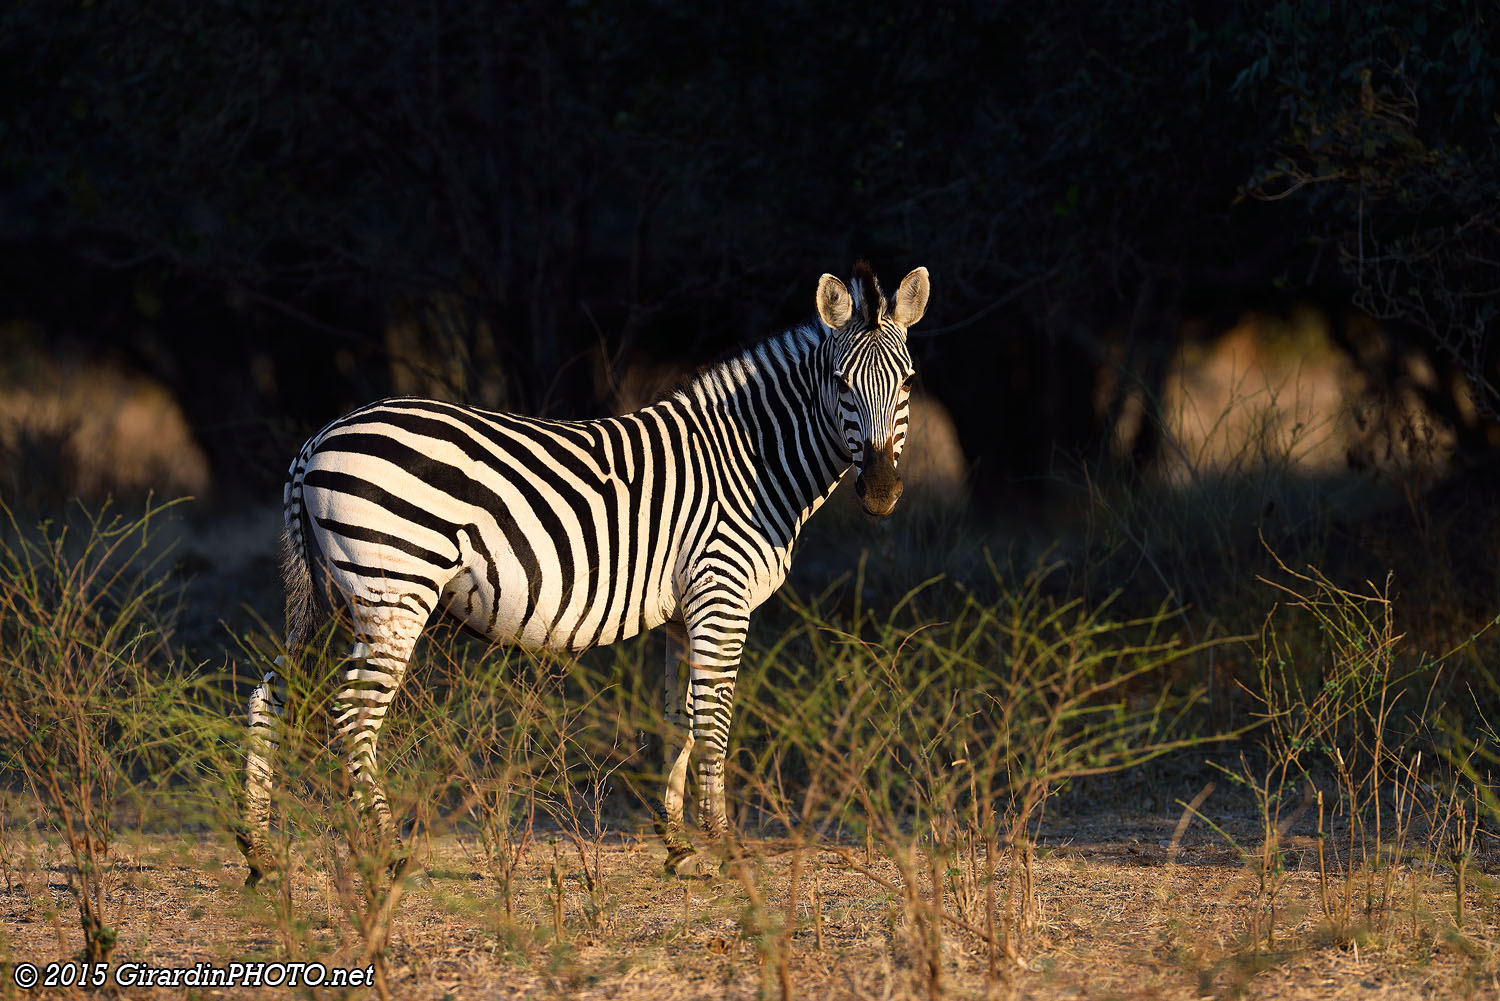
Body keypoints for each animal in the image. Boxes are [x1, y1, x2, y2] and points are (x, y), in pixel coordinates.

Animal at [239, 262, 929, 882]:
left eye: (909, 383)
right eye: (840, 383)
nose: (882, 493)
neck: (750, 460)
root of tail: (319, 438)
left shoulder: (687, 610)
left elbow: (683, 715)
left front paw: (678, 846)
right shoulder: (721, 594)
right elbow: (714, 719)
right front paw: (725, 847)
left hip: (332, 597)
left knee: (270, 692)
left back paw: (259, 852)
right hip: (393, 592)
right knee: (353, 713)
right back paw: (387, 852)